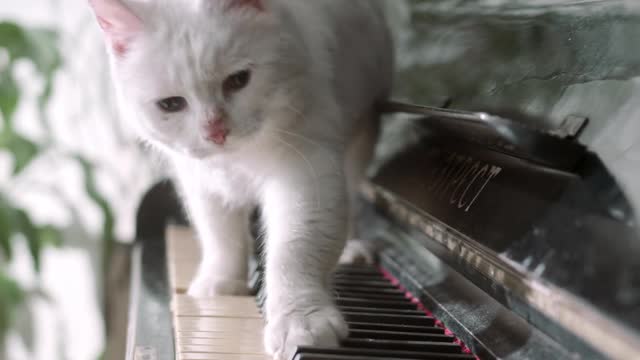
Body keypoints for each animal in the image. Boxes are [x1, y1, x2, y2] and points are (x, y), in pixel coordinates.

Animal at [87, 1, 392, 358]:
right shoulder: (201, 184)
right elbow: (220, 236)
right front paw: (222, 284)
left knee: (354, 196)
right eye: (171, 105)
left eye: (238, 80)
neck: (237, 160)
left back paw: (353, 248)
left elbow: (294, 251)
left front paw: (300, 324)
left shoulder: (307, 174)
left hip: (361, 135)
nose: (215, 132)